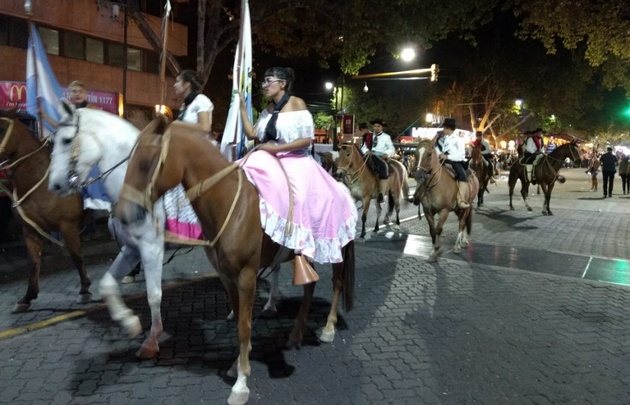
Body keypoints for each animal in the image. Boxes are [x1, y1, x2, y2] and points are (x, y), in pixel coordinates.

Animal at [0, 110, 91, 312]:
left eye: (0, 128)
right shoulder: (30, 230)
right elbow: (33, 263)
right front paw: (27, 297)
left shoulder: (68, 226)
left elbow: (76, 256)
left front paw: (84, 290)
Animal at [116, 117, 358, 404]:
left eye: (146, 162)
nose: (122, 213)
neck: (231, 202)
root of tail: (342, 186)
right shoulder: (226, 275)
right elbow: (238, 321)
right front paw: (236, 365)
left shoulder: (246, 275)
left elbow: (244, 326)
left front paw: (241, 383)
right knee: (310, 286)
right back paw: (295, 334)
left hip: (337, 249)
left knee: (336, 284)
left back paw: (328, 328)